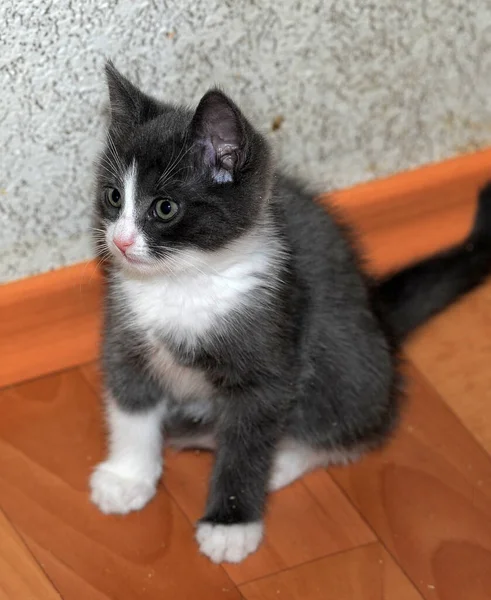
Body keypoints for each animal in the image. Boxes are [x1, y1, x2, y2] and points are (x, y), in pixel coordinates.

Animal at [90, 63, 491, 564]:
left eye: (164, 208)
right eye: (112, 198)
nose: (121, 241)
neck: (183, 283)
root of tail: (378, 318)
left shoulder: (270, 355)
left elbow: (247, 442)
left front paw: (231, 522)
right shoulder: (126, 337)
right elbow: (131, 406)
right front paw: (128, 476)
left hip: (342, 354)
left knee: (355, 424)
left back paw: (283, 458)